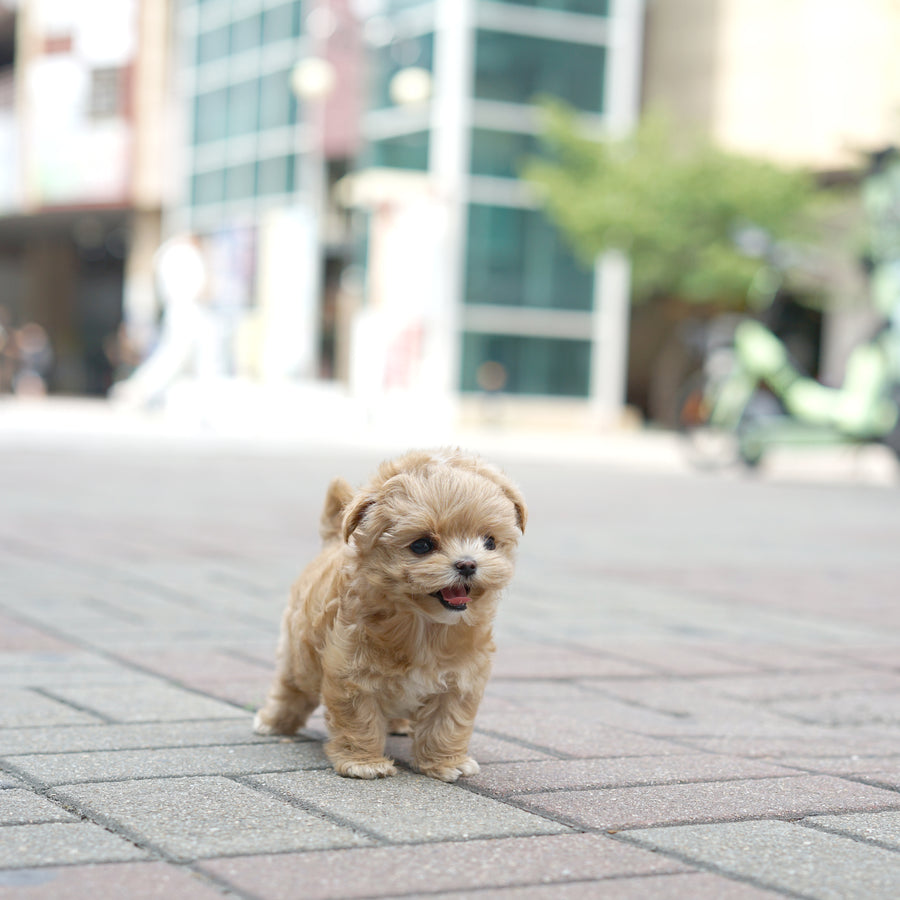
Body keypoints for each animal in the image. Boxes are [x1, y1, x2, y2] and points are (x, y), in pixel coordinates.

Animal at [253, 450, 524, 780]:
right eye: (422, 545)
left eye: (489, 542)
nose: (468, 564)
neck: (425, 626)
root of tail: (332, 542)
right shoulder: (351, 673)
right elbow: (359, 719)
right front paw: (364, 763)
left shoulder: (462, 679)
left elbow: (448, 723)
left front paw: (447, 762)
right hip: (300, 656)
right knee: (290, 687)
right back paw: (273, 722)